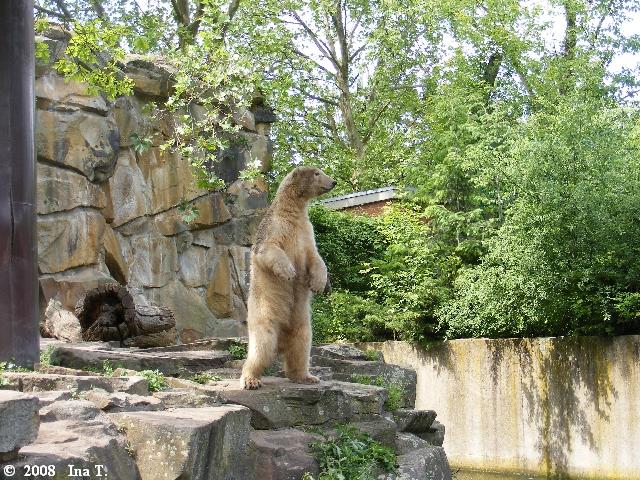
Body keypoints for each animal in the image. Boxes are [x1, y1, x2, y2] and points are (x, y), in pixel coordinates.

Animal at [240, 166, 337, 389]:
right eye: (317, 173)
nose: (334, 182)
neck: (292, 212)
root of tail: (281, 343)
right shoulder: (274, 226)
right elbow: (268, 248)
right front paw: (289, 272)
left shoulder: (306, 232)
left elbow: (315, 257)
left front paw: (319, 284)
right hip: (264, 313)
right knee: (262, 345)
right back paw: (250, 379)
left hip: (301, 321)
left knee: (302, 344)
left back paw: (306, 376)